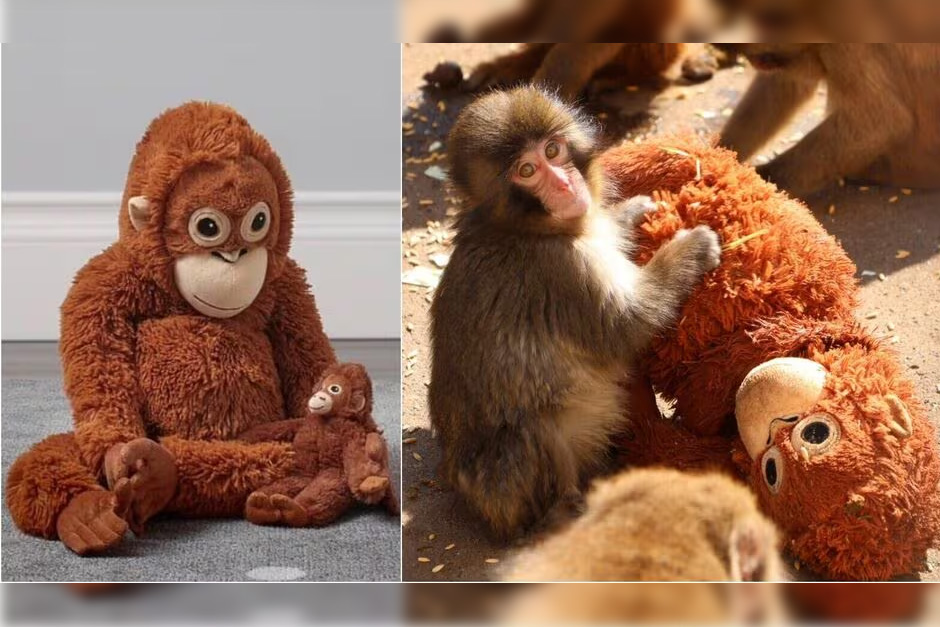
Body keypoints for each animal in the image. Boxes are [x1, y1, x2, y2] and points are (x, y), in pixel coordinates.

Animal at [429, 86, 722, 540]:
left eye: (553, 150)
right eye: (527, 170)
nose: (566, 184)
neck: (526, 228)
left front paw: (629, 212)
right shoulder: (562, 270)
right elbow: (627, 325)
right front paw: (690, 249)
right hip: (504, 489)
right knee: (532, 428)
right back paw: (563, 512)